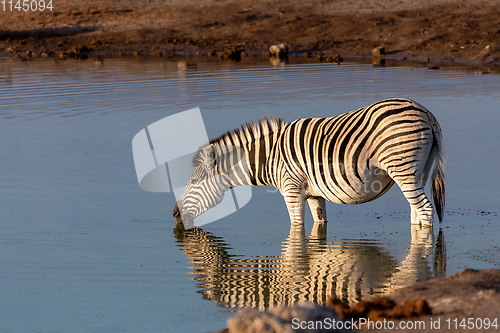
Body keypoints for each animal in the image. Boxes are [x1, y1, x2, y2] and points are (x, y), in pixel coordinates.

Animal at [173, 97, 446, 230]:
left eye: (194, 181)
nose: (175, 214)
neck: (271, 158)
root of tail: (425, 111)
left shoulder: (291, 190)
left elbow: (296, 228)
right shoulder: (314, 193)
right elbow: (319, 225)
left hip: (403, 169)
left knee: (425, 209)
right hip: (419, 172)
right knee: (416, 211)